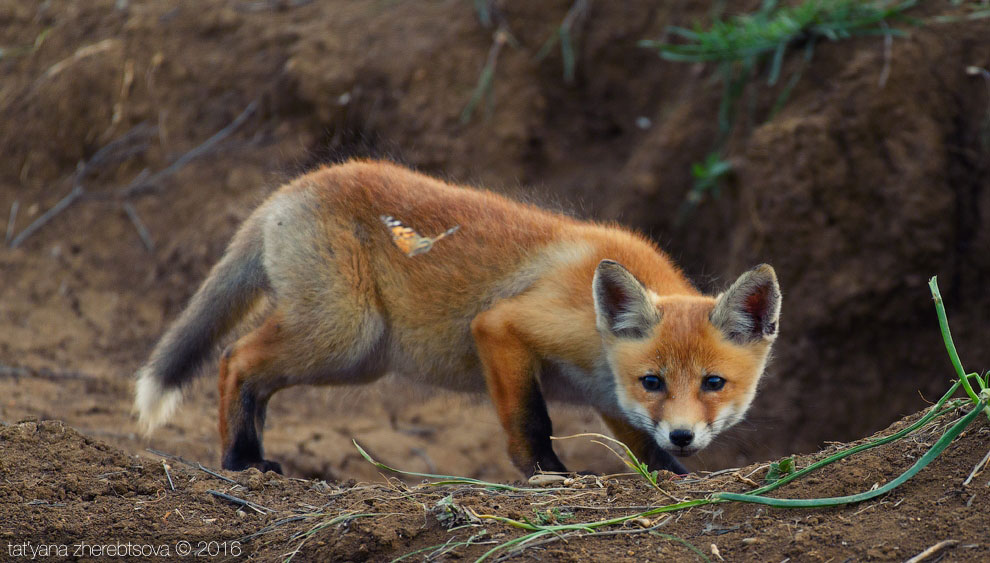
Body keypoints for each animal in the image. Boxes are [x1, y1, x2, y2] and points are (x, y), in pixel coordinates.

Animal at [134, 161, 784, 478]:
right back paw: (240, 461)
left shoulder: (610, 399)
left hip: (355, 356)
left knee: (252, 373)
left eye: (713, 383)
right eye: (654, 380)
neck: (597, 335)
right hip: (347, 336)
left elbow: (645, 450)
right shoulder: (503, 327)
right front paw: (548, 474)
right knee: (233, 358)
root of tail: (292, 188)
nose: (684, 435)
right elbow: (531, 420)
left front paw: (676, 476)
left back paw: (250, 455)